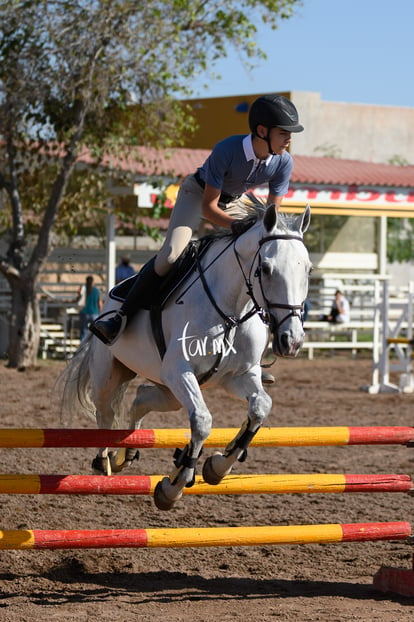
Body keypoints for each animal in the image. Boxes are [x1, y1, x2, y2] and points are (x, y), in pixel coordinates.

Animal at [58, 205, 310, 512]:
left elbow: (261, 407)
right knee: (105, 415)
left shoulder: (239, 376)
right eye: (265, 269)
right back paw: (102, 464)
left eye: (308, 269)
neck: (232, 310)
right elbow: (202, 421)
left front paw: (218, 466)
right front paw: (173, 486)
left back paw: (126, 454)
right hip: (112, 374)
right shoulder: (179, 370)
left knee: (141, 399)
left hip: (169, 391)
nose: (292, 340)